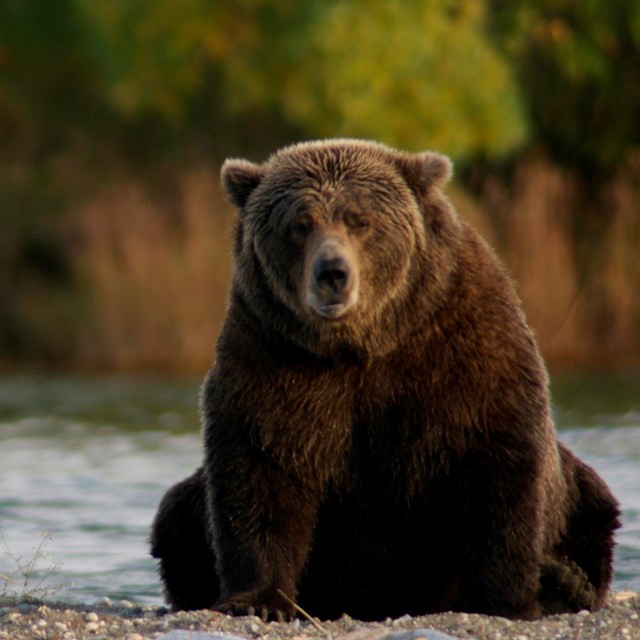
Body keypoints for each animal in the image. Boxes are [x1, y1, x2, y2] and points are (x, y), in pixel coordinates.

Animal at [151, 139, 620, 620]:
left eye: (360, 220)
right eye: (300, 224)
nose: (332, 272)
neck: (362, 346)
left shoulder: (464, 350)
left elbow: (498, 467)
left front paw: (504, 599)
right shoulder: (272, 357)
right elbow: (260, 468)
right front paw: (258, 601)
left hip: (578, 495)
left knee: (593, 507)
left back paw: (564, 582)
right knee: (176, 516)